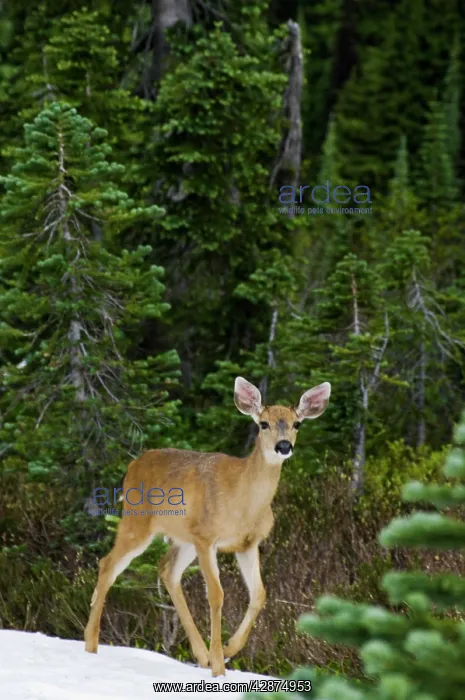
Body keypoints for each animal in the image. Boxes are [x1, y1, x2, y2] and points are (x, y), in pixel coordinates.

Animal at [84, 377, 331, 677]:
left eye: (297, 424)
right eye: (263, 424)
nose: (283, 446)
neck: (243, 504)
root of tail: (132, 465)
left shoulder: (247, 544)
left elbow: (259, 594)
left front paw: (228, 649)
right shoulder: (206, 537)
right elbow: (216, 594)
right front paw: (219, 667)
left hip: (183, 538)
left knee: (167, 570)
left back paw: (201, 655)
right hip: (138, 521)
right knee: (108, 564)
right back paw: (90, 643)